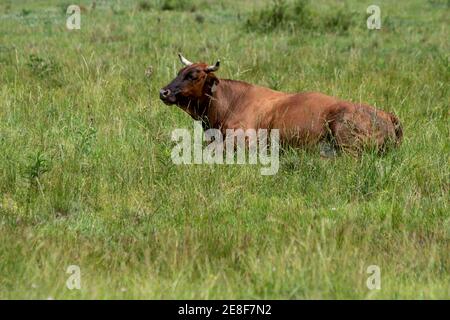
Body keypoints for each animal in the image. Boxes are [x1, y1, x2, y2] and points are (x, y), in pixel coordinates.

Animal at [160, 53, 402, 156]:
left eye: (193, 75)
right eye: (179, 71)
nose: (164, 92)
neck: (231, 101)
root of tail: (387, 114)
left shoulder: (244, 139)